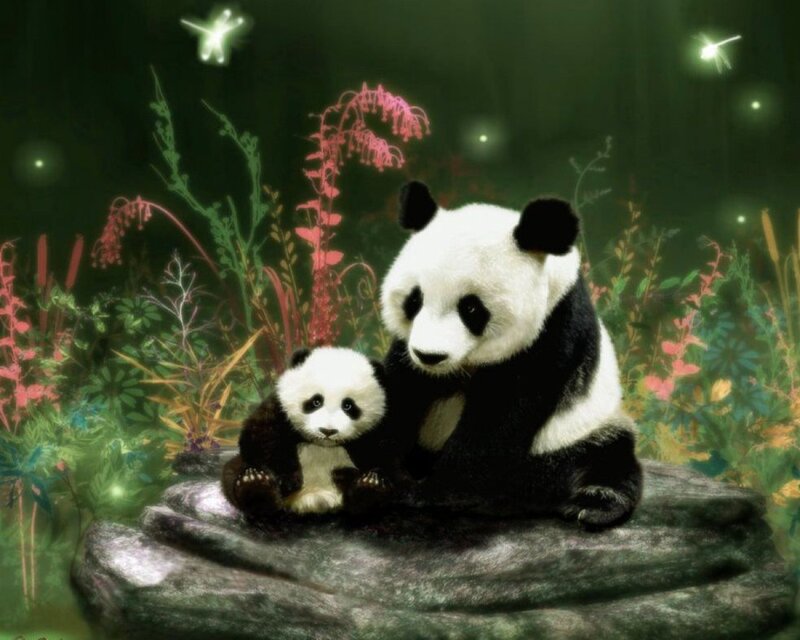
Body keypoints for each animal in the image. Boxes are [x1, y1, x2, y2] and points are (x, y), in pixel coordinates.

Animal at [221, 347, 394, 517]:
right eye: (316, 401)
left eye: (348, 405)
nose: (327, 431)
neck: (322, 444)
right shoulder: (279, 408)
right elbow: (262, 435)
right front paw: (287, 479)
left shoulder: (376, 428)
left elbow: (382, 454)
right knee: (233, 472)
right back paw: (256, 486)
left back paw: (368, 488)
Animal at [379, 181, 643, 530]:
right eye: (414, 300)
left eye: (471, 308)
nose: (429, 355)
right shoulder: (407, 349)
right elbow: (400, 387)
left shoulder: (552, 331)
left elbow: (500, 414)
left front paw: (430, 493)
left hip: (582, 429)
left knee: (609, 456)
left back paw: (595, 504)